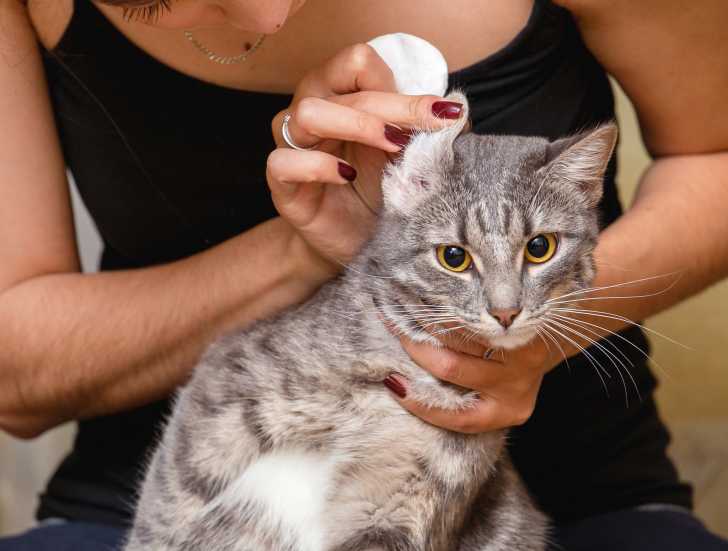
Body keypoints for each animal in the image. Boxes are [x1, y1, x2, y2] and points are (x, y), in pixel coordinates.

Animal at [123, 95, 616, 551]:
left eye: (540, 247)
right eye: (453, 257)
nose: (506, 311)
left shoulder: (399, 506)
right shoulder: (225, 381)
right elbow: (169, 504)